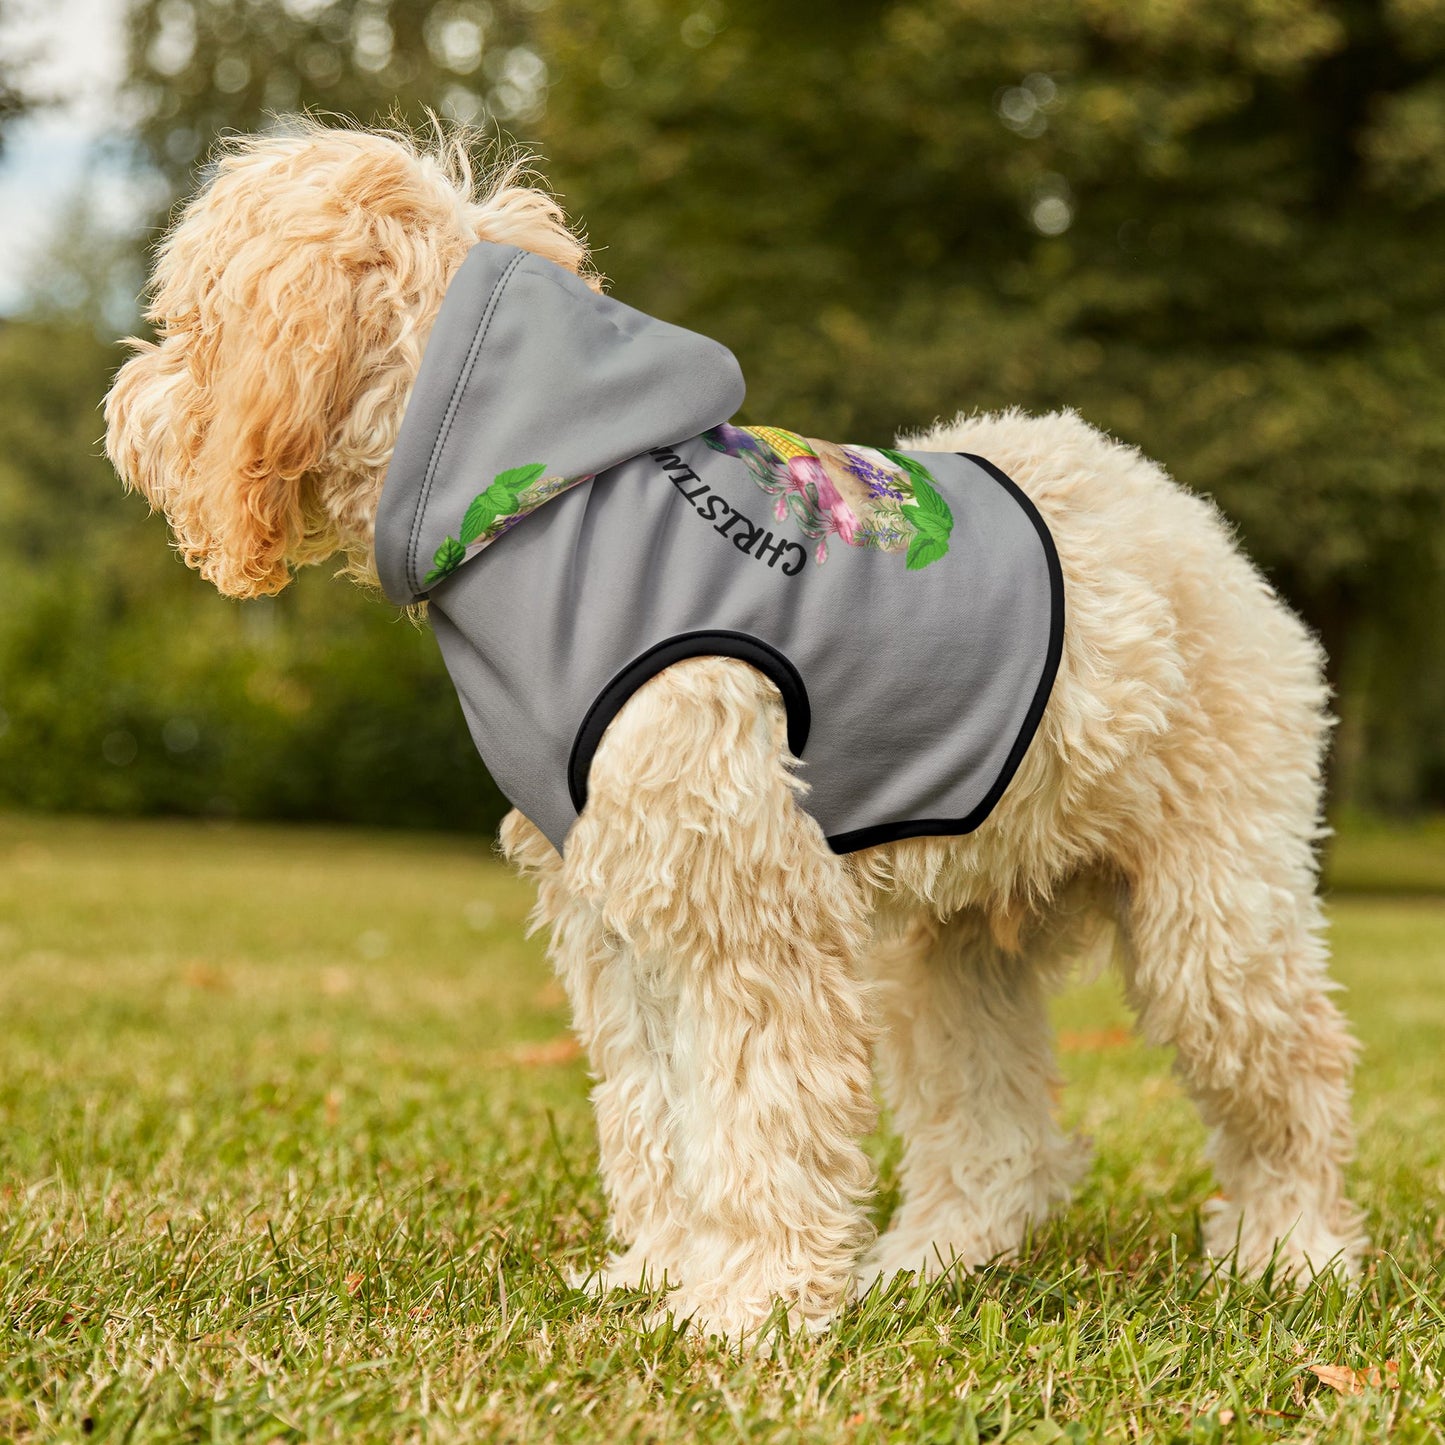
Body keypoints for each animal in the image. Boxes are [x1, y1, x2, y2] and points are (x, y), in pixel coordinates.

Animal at [104, 124, 1364, 1340]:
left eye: (190, 318)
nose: (123, 407)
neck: (538, 498)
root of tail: (1186, 517)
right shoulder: (618, 908)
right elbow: (656, 1110)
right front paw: (661, 1273)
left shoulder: (744, 902)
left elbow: (758, 1112)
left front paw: (747, 1304)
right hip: (950, 947)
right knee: (995, 1133)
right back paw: (929, 1260)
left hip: (1213, 913)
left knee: (1293, 1074)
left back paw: (1290, 1252)